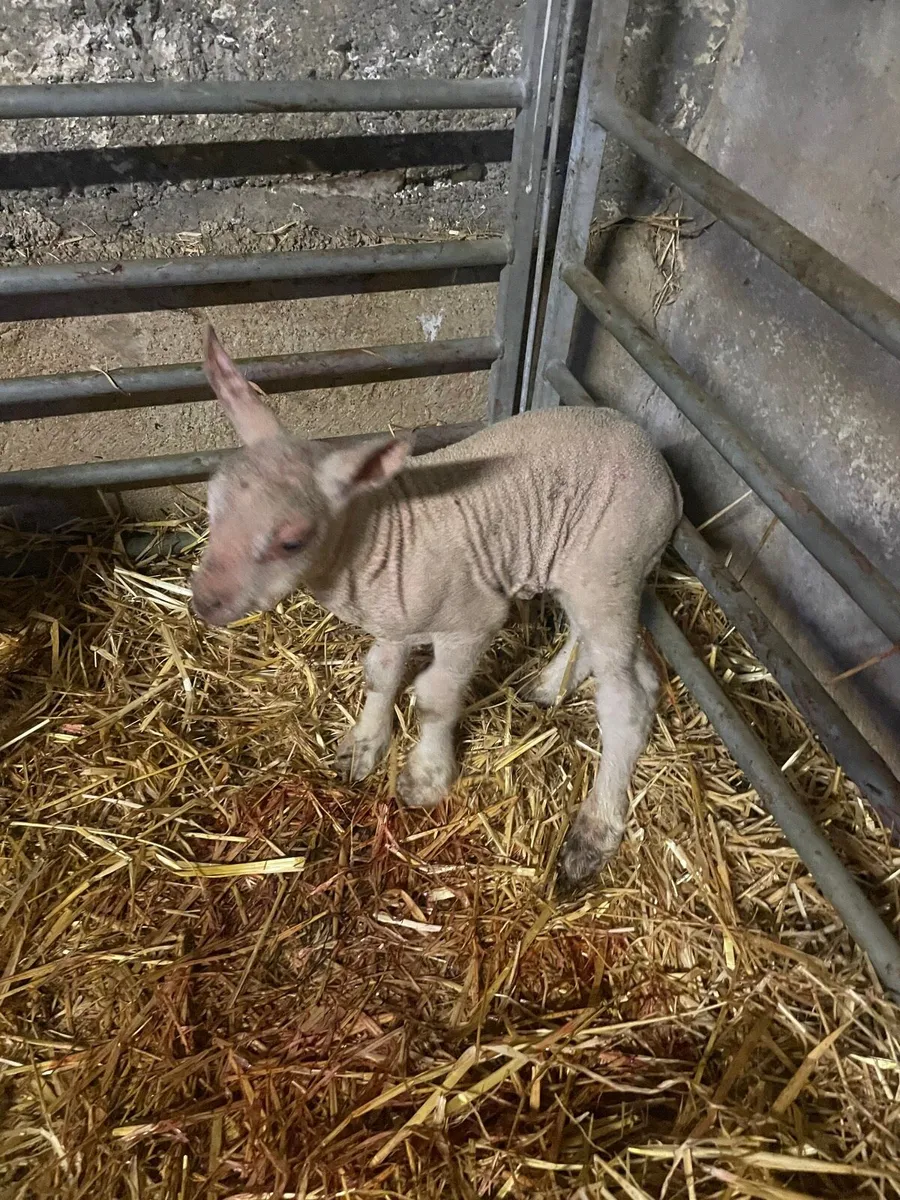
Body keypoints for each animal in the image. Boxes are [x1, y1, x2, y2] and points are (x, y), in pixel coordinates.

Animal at [191, 327, 682, 891]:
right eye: (212, 506)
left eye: (292, 541)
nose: (203, 601)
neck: (375, 539)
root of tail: (666, 475)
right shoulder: (394, 618)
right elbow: (380, 675)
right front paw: (363, 746)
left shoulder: (470, 621)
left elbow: (434, 699)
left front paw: (424, 778)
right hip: (589, 570)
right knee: (613, 653)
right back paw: (548, 684)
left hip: (610, 562)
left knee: (629, 698)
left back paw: (594, 830)